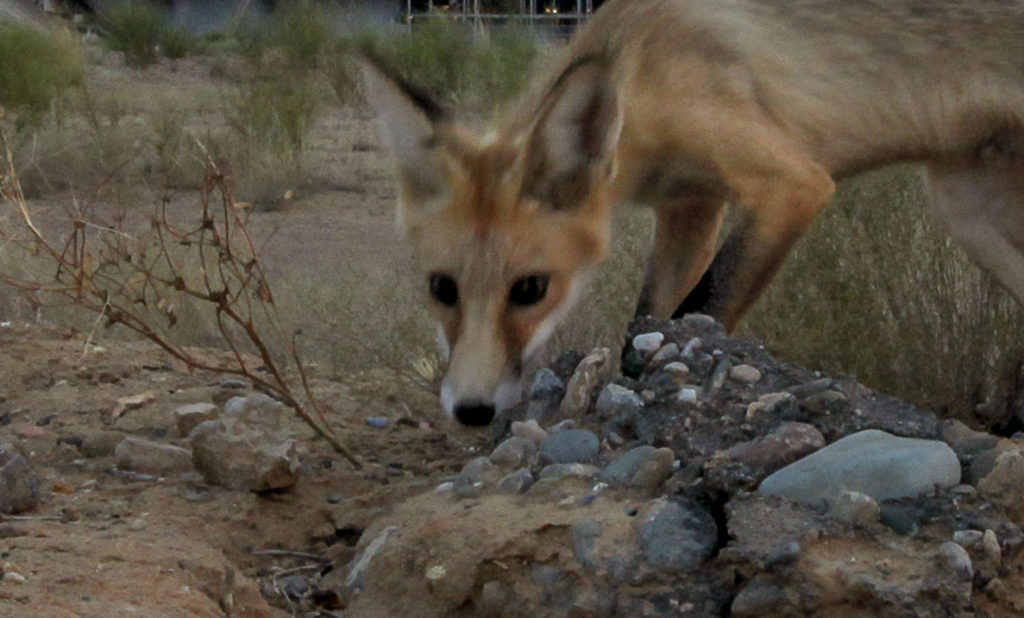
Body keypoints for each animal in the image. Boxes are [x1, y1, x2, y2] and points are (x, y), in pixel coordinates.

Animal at [362, 0, 1024, 425]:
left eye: (531, 289)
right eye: (441, 289)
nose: (470, 411)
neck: (641, 66)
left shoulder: (792, 183)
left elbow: (700, 308)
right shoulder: (691, 206)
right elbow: (646, 321)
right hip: (968, 215)